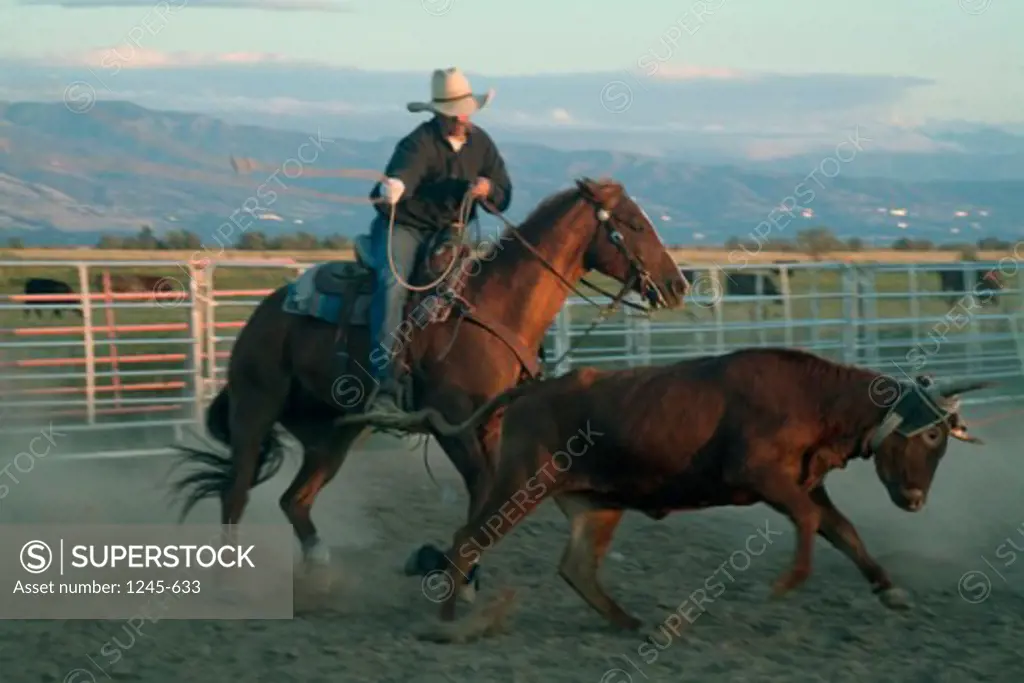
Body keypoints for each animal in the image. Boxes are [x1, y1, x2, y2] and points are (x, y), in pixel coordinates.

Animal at [172, 179, 692, 602]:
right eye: (633, 224)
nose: (677, 284)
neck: (492, 304)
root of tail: (263, 313)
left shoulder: (490, 424)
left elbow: (493, 496)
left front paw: (456, 569)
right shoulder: (451, 425)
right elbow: (483, 489)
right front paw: (446, 569)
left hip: (333, 432)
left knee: (294, 499)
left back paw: (320, 571)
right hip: (255, 407)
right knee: (236, 492)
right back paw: (229, 583)